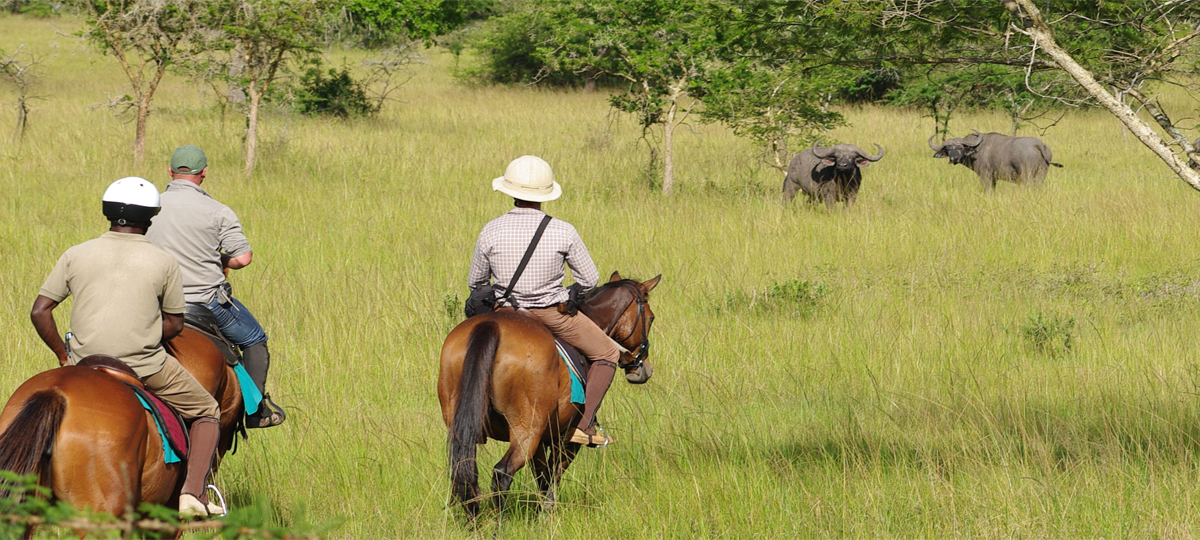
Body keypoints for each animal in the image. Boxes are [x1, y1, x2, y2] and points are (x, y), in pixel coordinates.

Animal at [441, 272, 662, 516]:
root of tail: (491, 325)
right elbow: (553, 475)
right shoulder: (565, 438)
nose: (644, 369)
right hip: (526, 430)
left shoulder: (542, 440)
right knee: (502, 473)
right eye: (651, 318)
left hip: (463, 426)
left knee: (465, 473)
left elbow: (542, 476)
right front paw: (547, 512)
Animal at [926, 130, 1060, 189]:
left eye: (960, 147)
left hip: (1027, 176)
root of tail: (1039, 145)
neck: (977, 148)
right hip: (1041, 174)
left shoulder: (986, 176)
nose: (954, 158)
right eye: (948, 149)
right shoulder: (994, 179)